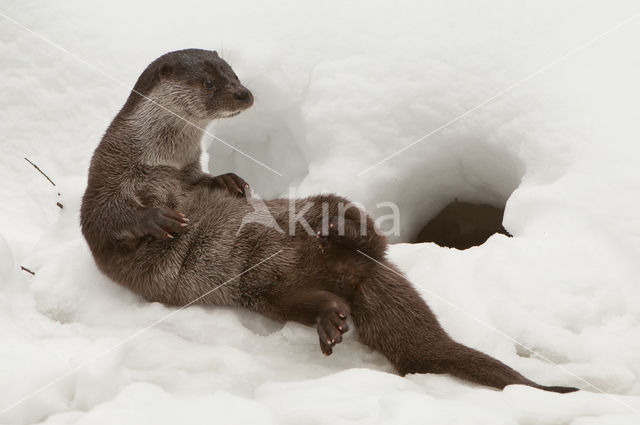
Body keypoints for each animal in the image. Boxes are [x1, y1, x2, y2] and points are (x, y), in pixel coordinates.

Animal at [79, 48, 576, 392]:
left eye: (234, 74)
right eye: (207, 82)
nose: (244, 93)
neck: (159, 160)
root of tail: (352, 273)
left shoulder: (187, 173)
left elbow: (205, 182)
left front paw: (230, 180)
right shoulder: (106, 178)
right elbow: (104, 218)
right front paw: (158, 217)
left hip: (304, 219)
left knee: (367, 233)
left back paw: (339, 228)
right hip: (260, 292)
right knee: (307, 296)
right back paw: (330, 314)